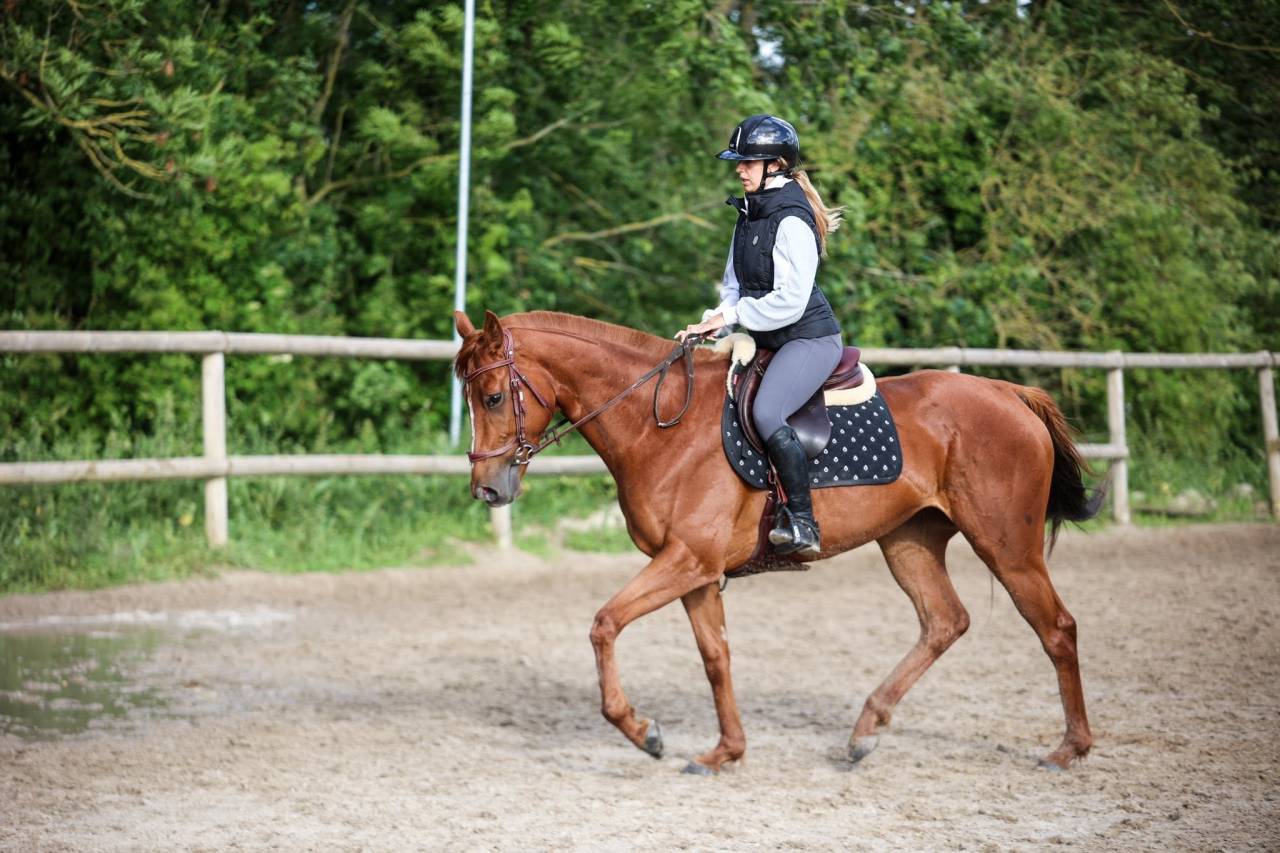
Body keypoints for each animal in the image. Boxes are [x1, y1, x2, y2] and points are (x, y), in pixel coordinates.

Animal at [453, 309, 1105, 775]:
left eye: (493, 397)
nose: (487, 488)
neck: (658, 426)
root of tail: (1007, 392)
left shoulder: (685, 560)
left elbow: (604, 624)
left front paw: (646, 734)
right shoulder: (695, 570)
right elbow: (715, 657)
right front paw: (725, 752)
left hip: (1006, 544)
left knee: (1057, 627)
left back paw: (1067, 750)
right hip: (908, 540)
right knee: (944, 621)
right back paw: (865, 732)